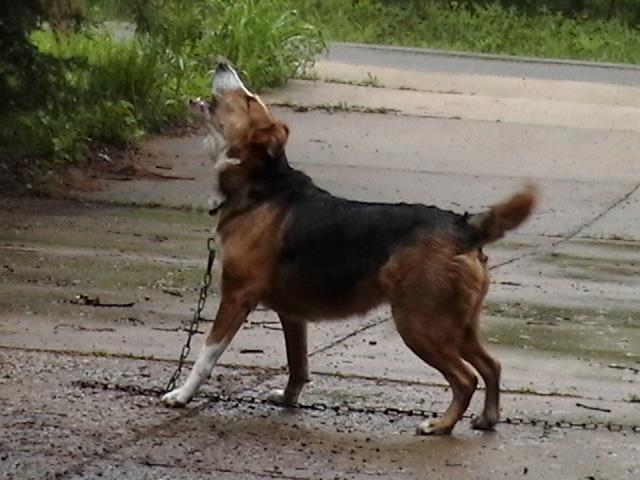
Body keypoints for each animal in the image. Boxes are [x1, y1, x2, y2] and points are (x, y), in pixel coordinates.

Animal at [162, 62, 537, 435]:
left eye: (249, 99)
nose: (222, 62)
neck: (261, 187)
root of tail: (463, 225)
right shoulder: (292, 314)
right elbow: (298, 363)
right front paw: (288, 398)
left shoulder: (236, 296)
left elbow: (206, 353)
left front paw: (182, 394)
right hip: (457, 325)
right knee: (491, 366)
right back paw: (487, 418)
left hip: (419, 325)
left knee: (465, 378)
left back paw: (440, 425)